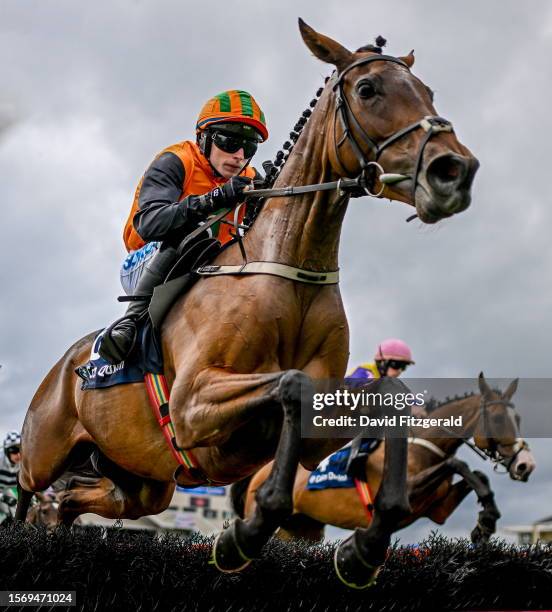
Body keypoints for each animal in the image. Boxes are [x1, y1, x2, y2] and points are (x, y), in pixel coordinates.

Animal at [15, 16, 476, 584]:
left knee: (67, 504)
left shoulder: (318, 431)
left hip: (142, 483)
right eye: (368, 89)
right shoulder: (194, 404)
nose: (454, 170)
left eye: (428, 91)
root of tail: (63, 366)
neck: (289, 271)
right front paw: (244, 535)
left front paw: (364, 546)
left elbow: (379, 405)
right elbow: (290, 383)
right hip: (43, 457)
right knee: (28, 496)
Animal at [239, 376, 536, 548]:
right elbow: (458, 465)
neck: (424, 447)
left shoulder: (438, 510)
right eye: (498, 419)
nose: (526, 464)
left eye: (519, 419)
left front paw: (486, 520)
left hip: (301, 529)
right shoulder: (408, 491)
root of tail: (257, 474)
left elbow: (476, 475)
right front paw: (486, 519)